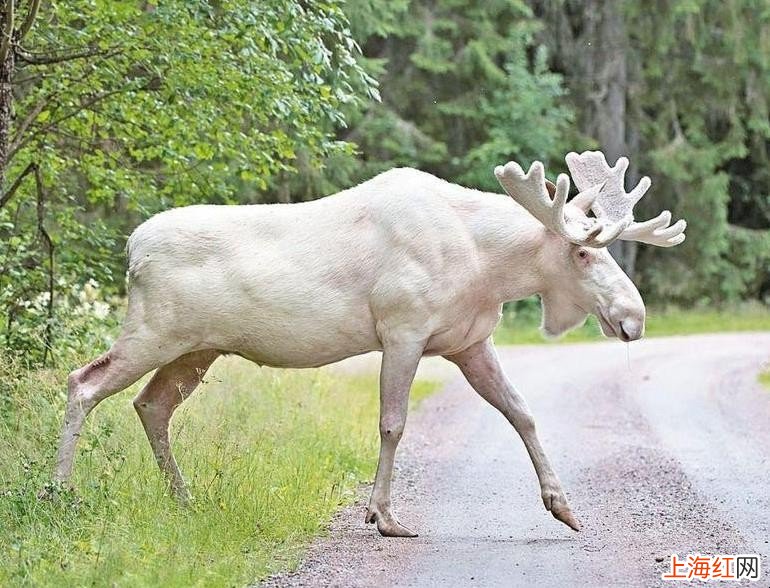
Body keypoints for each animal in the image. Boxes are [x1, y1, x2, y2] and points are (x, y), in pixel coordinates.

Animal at [52, 150, 684, 536]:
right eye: (582, 251)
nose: (634, 318)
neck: (486, 267)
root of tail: (132, 249)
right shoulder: (402, 329)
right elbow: (393, 423)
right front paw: (383, 515)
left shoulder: (469, 341)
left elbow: (522, 412)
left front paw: (563, 506)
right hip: (153, 331)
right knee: (83, 382)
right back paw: (60, 493)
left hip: (196, 349)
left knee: (151, 404)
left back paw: (182, 499)